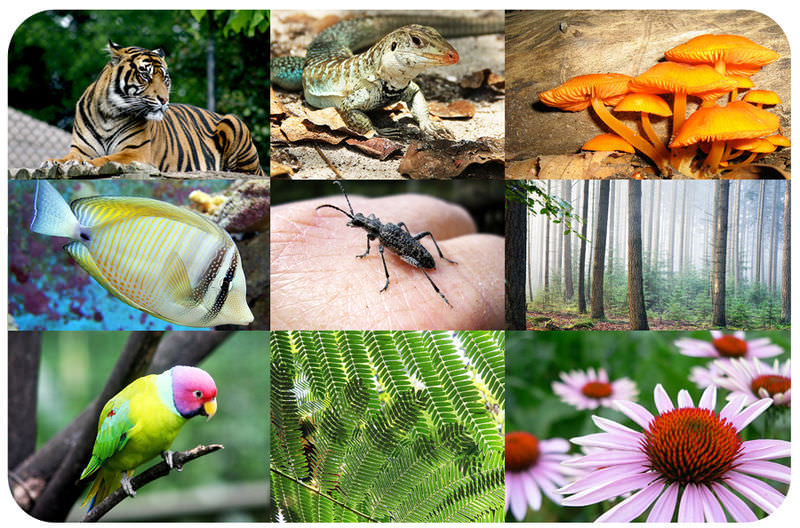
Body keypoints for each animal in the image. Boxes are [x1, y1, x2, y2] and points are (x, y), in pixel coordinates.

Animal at [45, 40, 264, 175]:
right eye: (145, 75)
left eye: (165, 78)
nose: (164, 100)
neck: (109, 113)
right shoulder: (80, 148)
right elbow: (68, 157)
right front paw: (53, 162)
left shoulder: (135, 153)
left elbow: (104, 159)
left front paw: (81, 164)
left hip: (234, 122)